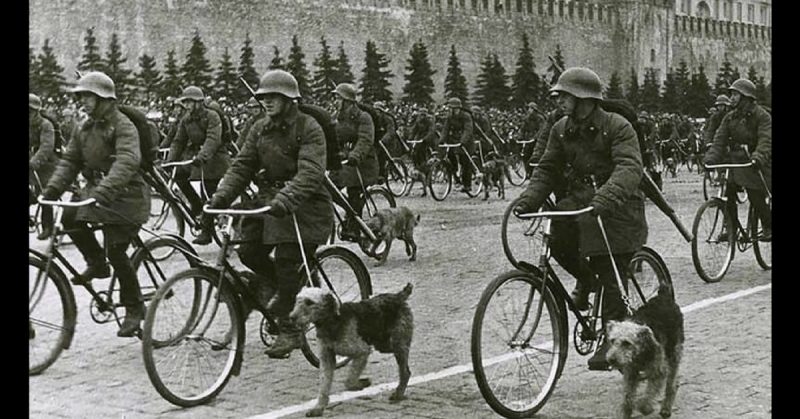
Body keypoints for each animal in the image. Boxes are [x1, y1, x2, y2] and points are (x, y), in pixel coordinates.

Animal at [290, 284, 412, 418]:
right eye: (297, 299)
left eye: (309, 302)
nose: (291, 317)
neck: (332, 321)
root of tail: (398, 296)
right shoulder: (327, 359)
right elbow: (324, 387)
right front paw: (318, 408)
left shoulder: (362, 351)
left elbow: (349, 381)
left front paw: (362, 383)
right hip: (384, 345)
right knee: (405, 367)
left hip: (396, 343)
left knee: (405, 371)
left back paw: (398, 394)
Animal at [604, 284, 684, 418]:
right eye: (612, 340)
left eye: (627, 343)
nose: (612, 360)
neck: (640, 353)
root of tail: (663, 295)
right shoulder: (630, 373)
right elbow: (627, 397)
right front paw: (626, 412)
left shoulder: (659, 371)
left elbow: (649, 394)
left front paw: (645, 408)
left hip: (674, 353)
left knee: (672, 385)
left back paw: (666, 408)